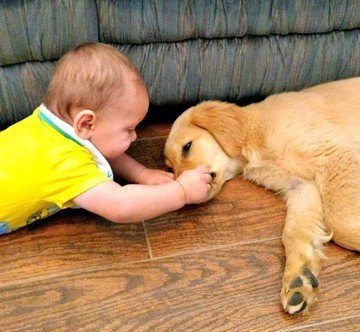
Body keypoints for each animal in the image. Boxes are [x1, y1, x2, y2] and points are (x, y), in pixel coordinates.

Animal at [165, 76, 360, 316]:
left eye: (187, 147)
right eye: (170, 168)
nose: (186, 193)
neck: (253, 134)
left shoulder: (334, 155)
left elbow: (340, 222)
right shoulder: (301, 187)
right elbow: (294, 232)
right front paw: (299, 278)